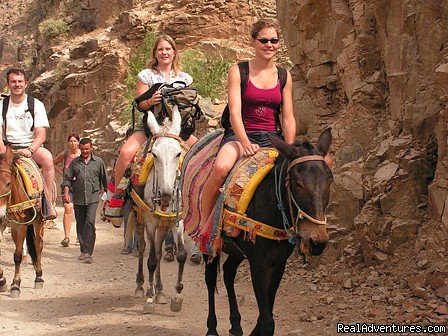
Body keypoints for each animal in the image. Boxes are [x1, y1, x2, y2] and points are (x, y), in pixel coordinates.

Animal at [0, 146, 44, 298]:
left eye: (8, 184)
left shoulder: (22, 227)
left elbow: (18, 256)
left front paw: (15, 285)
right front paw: (2, 281)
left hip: (38, 222)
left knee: (38, 245)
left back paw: (39, 277)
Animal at [129, 106, 186, 314]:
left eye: (178, 153)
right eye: (154, 154)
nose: (166, 194)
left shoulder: (178, 220)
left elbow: (181, 255)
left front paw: (177, 296)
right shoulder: (150, 221)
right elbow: (151, 260)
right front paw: (149, 298)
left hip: (164, 224)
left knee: (160, 251)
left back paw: (160, 291)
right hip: (139, 216)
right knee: (143, 248)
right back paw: (141, 287)